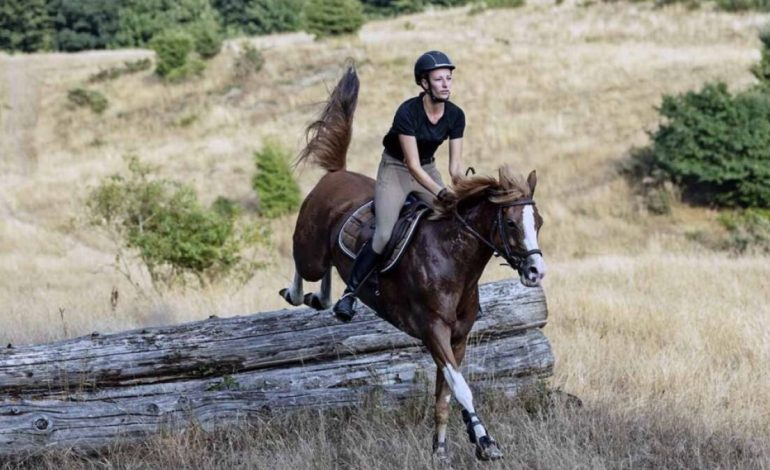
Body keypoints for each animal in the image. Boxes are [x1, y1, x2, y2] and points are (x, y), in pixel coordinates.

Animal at [280, 65, 547, 462]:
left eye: (538, 223)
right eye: (512, 224)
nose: (536, 272)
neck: (454, 262)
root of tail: (336, 174)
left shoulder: (458, 337)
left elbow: (445, 394)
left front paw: (442, 450)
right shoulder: (433, 330)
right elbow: (461, 388)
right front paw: (486, 443)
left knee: (326, 284)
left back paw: (329, 300)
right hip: (310, 249)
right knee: (303, 267)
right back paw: (305, 295)